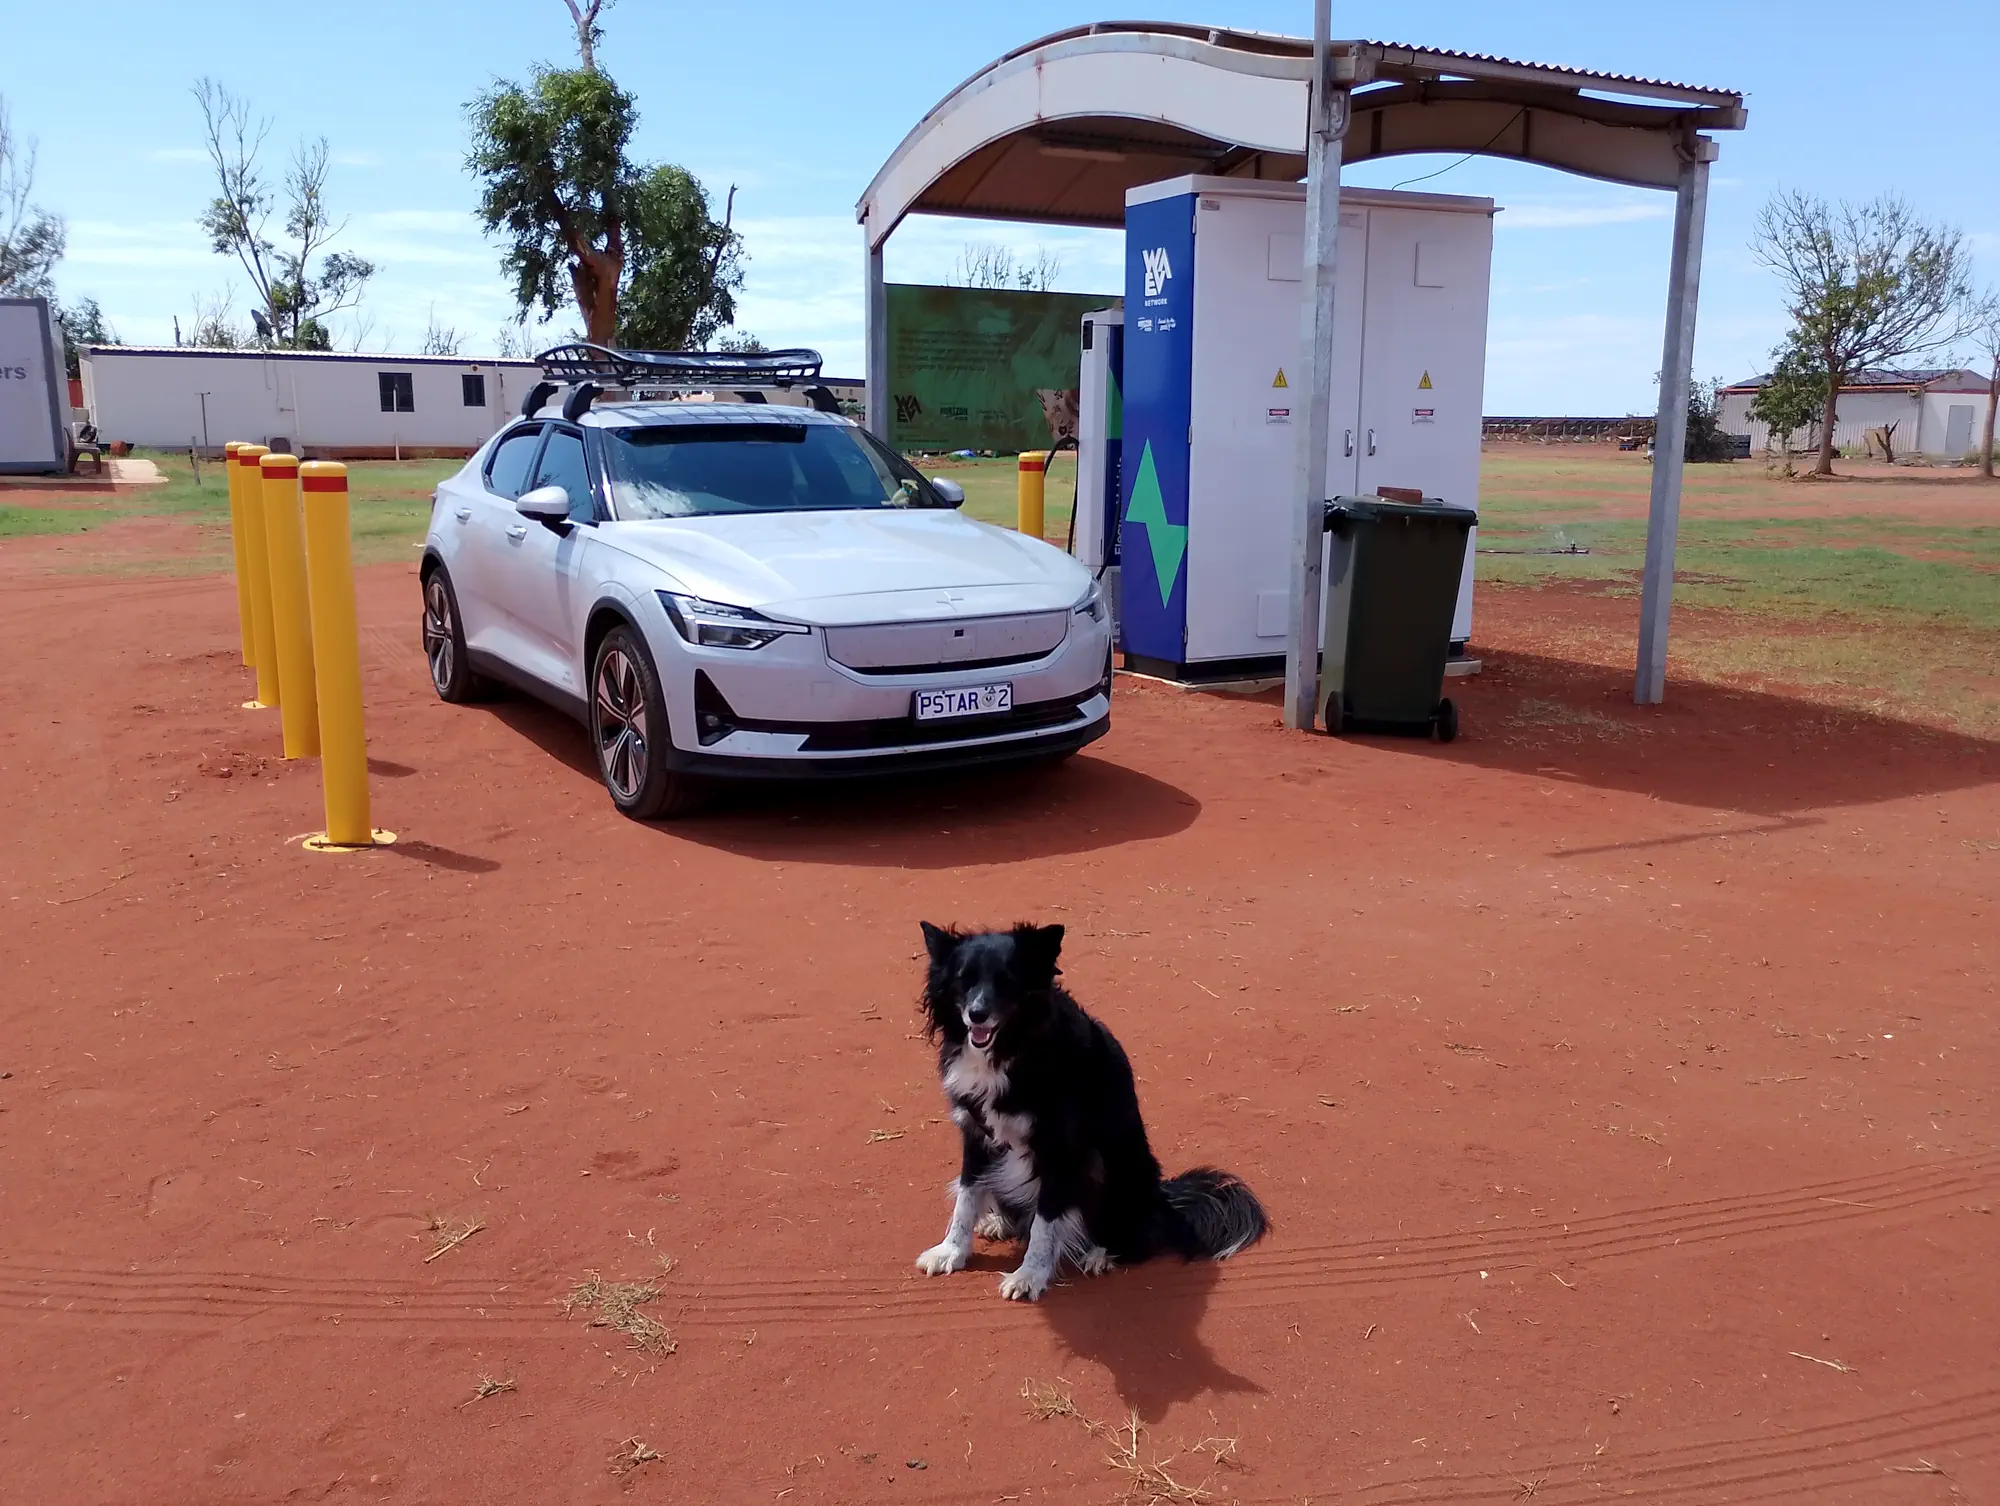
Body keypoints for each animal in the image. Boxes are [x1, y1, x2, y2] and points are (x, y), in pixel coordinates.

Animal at [912, 924, 1264, 1296]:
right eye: (963, 979)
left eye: (1007, 980)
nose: (977, 1015)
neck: (1013, 1048)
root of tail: (1165, 1200)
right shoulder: (975, 1132)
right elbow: (966, 1197)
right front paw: (950, 1251)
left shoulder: (1060, 1149)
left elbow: (1045, 1220)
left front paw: (1029, 1275)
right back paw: (999, 1222)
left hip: (1111, 1170)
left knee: (1140, 1236)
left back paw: (1102, 1254)